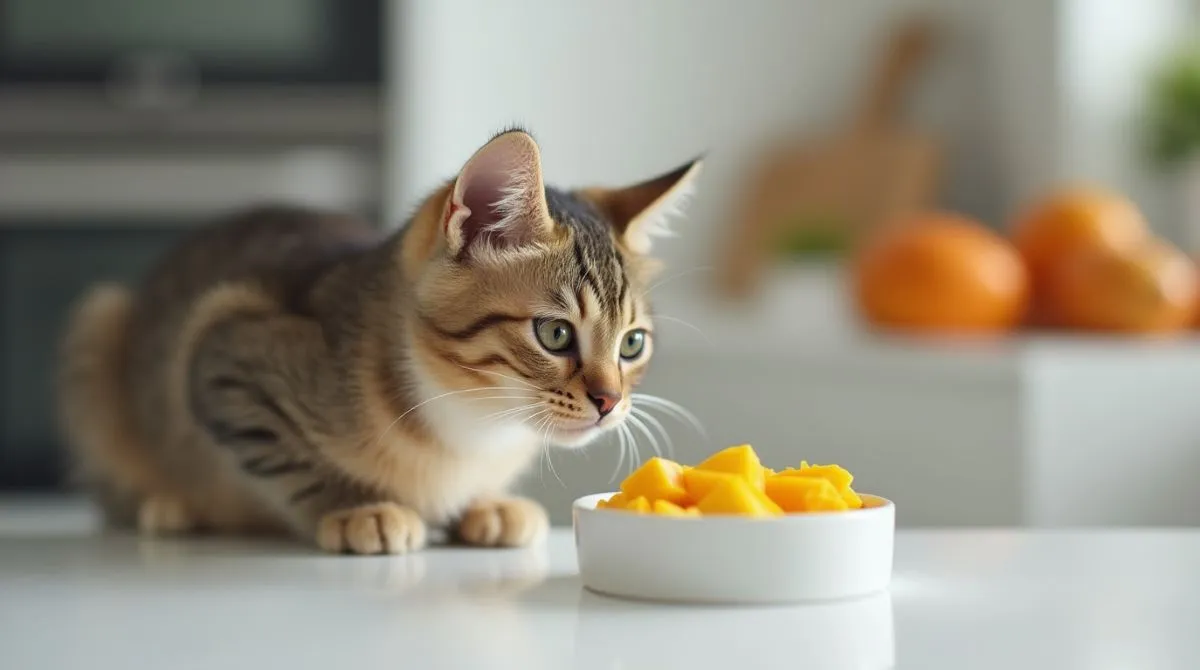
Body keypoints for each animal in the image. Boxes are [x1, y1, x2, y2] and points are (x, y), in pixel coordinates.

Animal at [58, 128, 700, 554]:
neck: (472, 422)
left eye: (632, 345)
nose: (610, 402)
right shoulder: (223, 348)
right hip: (99, 322)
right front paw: (357, 508)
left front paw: (485, 503)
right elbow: (288, 455)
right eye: (556, 333)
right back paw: (165, 504)